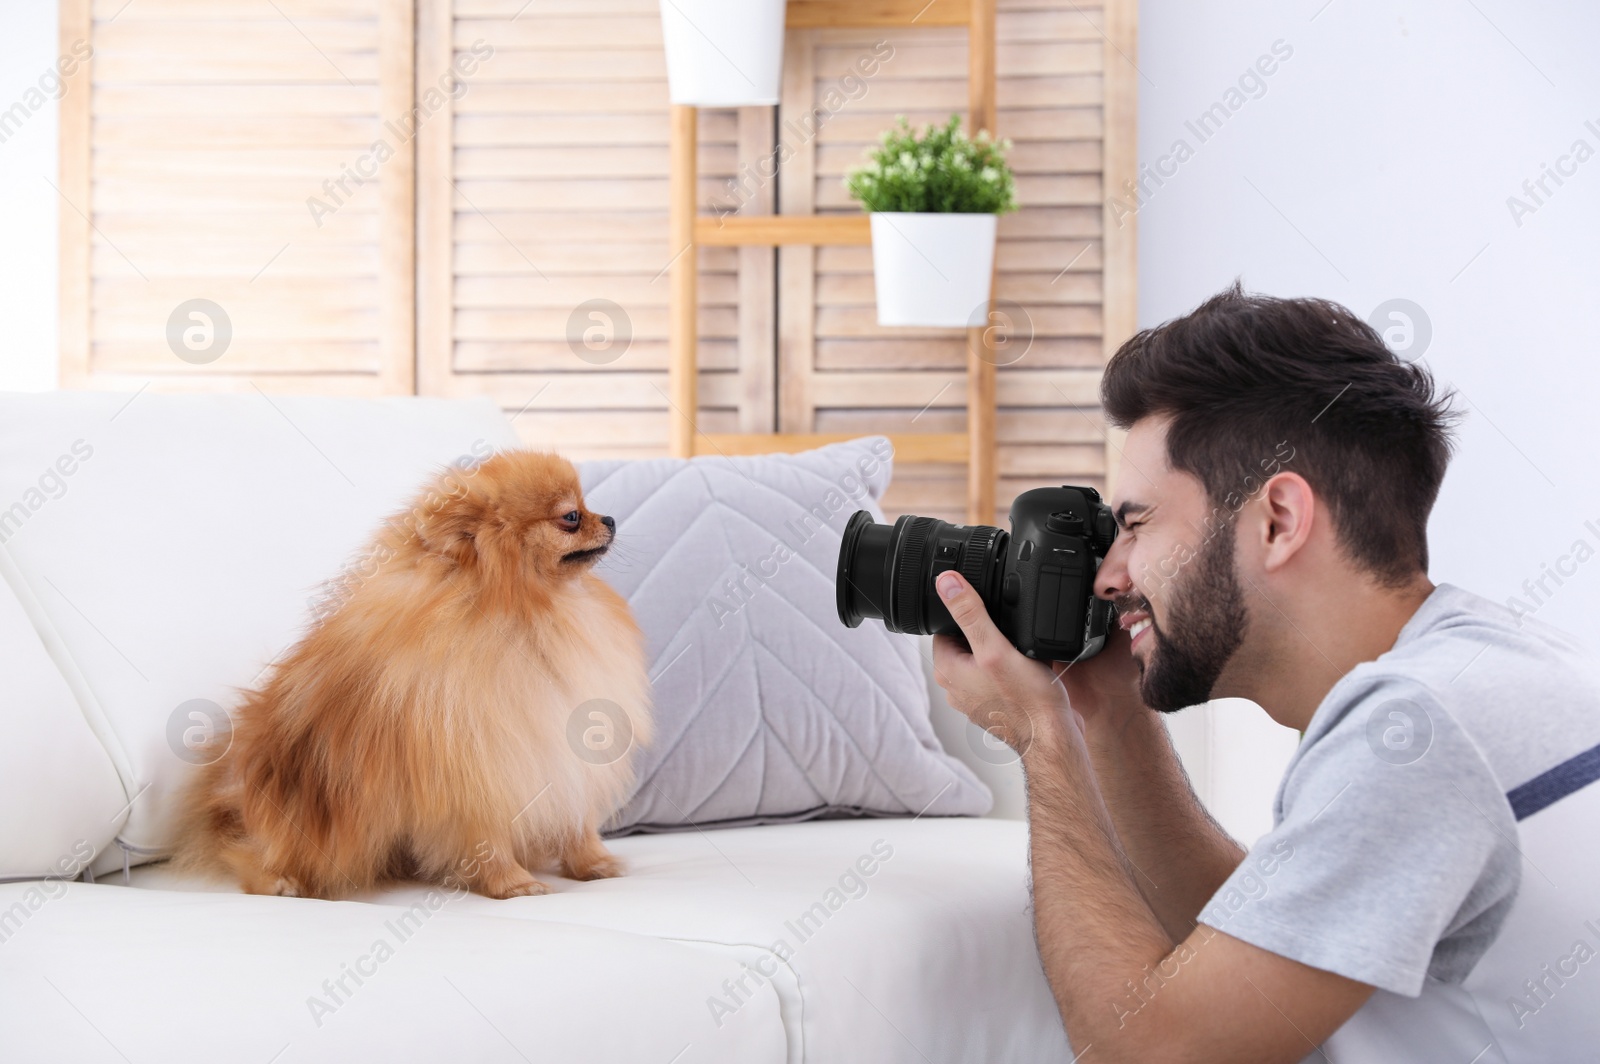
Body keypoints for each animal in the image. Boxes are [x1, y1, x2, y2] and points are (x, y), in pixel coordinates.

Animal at [170, 448, 649, 896]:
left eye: (587, 507)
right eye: (571, 516)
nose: (609, 518)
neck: (530, 612)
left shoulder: (557, 752)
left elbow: (575, 817)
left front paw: (592, 862)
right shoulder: (478, 766)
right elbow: (487, 834)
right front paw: (512, 883)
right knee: (245, 852)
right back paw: (278, 881)